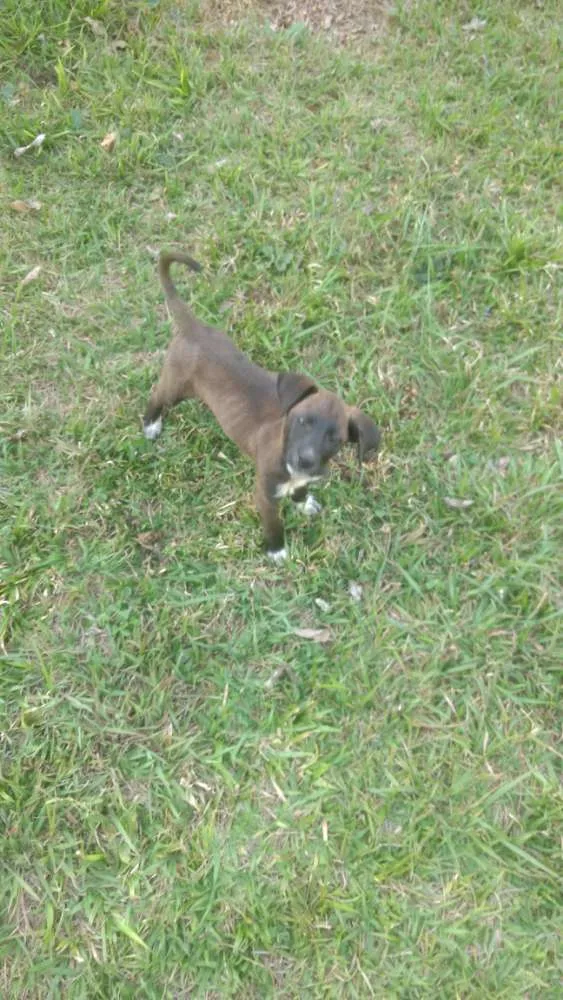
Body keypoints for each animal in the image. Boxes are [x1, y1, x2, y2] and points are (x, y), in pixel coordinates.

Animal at [143, 249, 382, 560]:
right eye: (302, 421)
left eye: (336, 439)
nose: (305, 460)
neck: (285, 452)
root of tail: (195, 327)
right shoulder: (265, 495)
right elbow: (273, 524)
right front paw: (276, 550)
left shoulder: (301, 480)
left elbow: (300, 491)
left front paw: (304, 503)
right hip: (176, 386)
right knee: (156, 396)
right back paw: (151, 424)